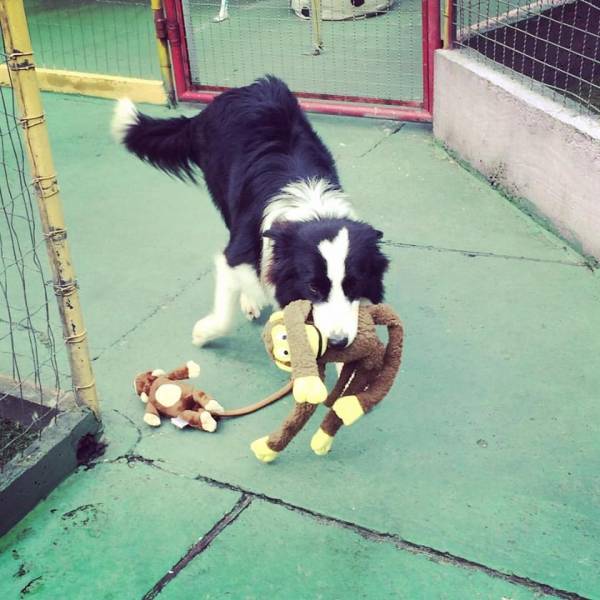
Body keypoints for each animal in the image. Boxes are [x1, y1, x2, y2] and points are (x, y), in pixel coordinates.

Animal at [112, 75, 390, 346]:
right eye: (313, 288)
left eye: (353, 285)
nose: (338, 342)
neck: (314, 210)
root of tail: (239, 90)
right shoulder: (234, 256)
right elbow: (225, 310)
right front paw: (203, 333)